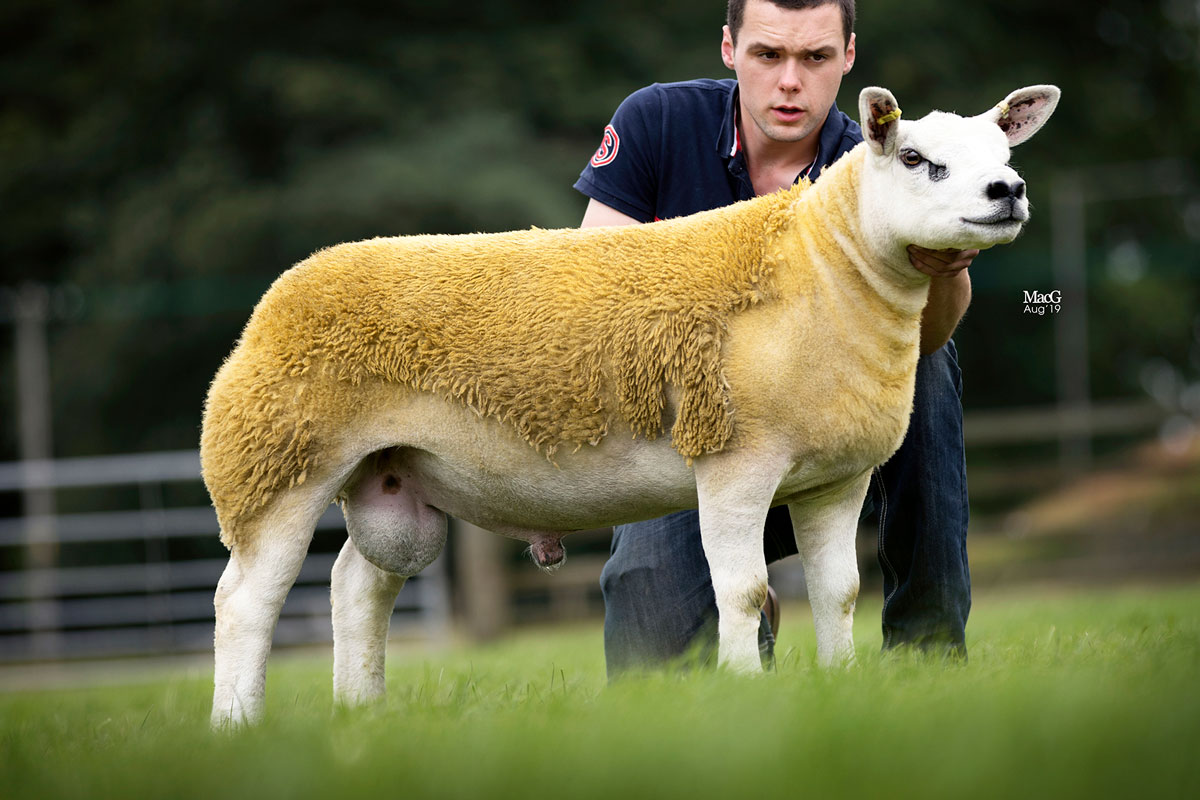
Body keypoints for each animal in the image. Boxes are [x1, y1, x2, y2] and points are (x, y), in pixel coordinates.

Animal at [203, 84, 1060, 727]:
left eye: (1006, 156)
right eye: (916, 159)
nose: (1009, 193)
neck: (822, 269)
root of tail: (285, 290)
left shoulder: (833, 478)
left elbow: (840, 592)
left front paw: (843, 685)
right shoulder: (734, 460)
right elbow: (744, 591)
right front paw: (744, 692)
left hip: (388, 477)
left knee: (357, 586)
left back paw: (362, 712)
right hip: (275, 458)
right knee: (246, 601)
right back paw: (237, 724)